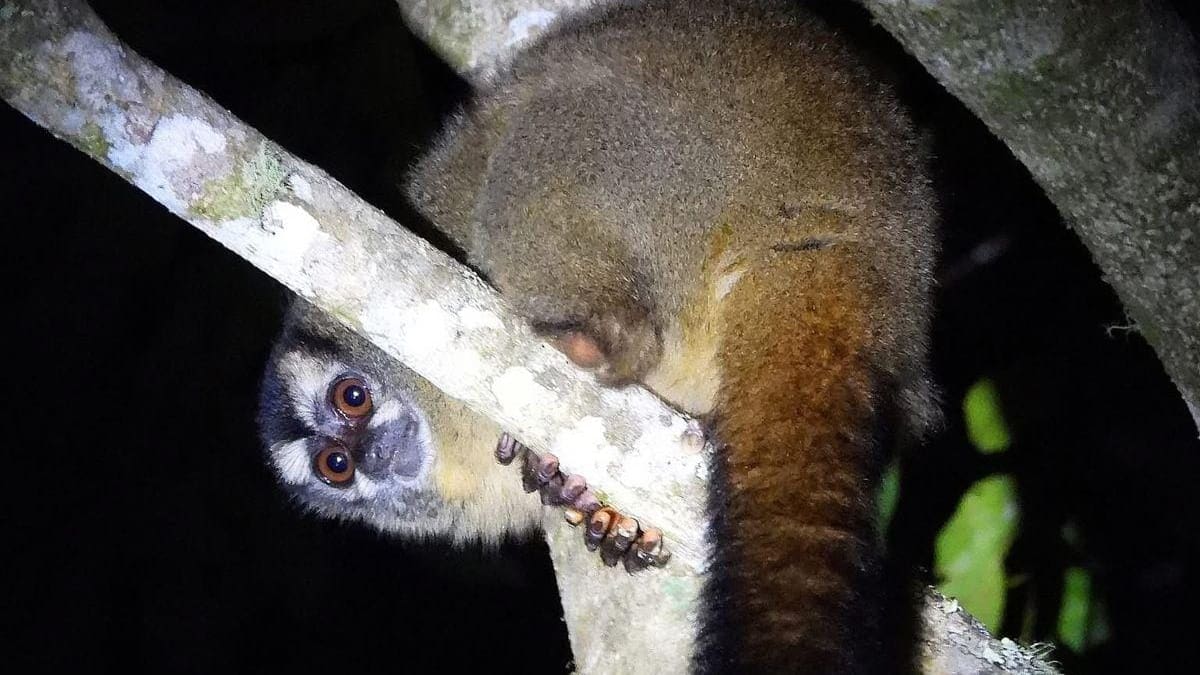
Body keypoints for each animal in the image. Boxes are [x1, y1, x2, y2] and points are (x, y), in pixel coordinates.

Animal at [405, 0, 939, 672]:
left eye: (352, 400)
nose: (360, 458)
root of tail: (834, 225)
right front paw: (597, 510)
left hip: (668, 176)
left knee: (557, 128)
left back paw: (599, 337)